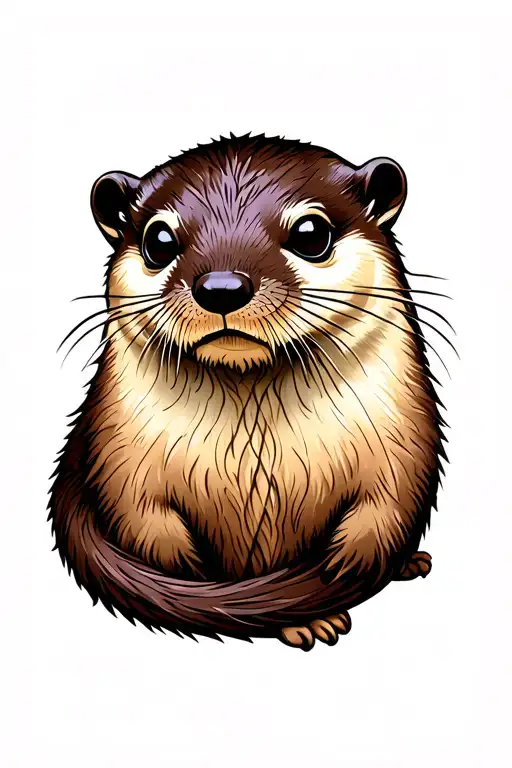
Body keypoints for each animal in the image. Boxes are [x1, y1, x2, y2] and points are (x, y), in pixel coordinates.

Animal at [49, 134, 446, 650]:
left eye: (311, 233)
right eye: (159, 240)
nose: (221, 287)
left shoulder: (404, 448)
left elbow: (383, 519)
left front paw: (338, 581)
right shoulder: (124, 473)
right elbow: (157, 540)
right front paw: (297, 616)